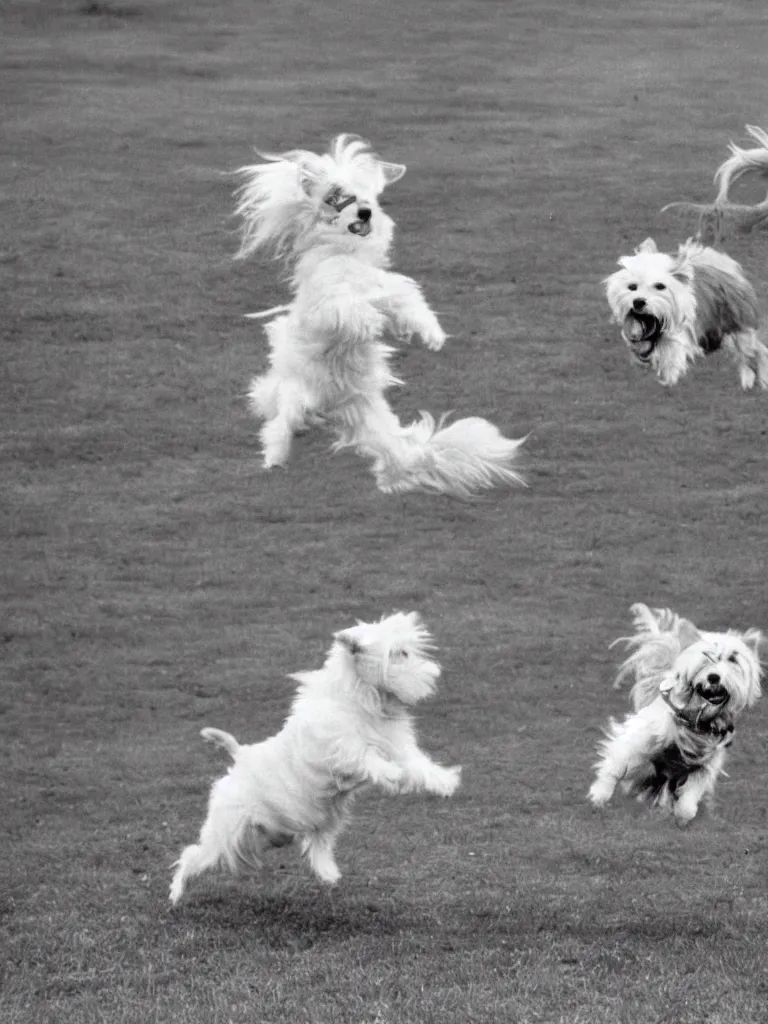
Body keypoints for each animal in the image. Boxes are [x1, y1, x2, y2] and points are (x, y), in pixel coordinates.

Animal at [169, 610, 462, 901]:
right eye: (400, 653)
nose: (434, 672)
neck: (363, 702)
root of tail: (240, 757)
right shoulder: (341, 747)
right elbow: (364, 755)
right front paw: (390, 773)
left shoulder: (398, 746)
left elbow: (419, 765)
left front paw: (445, 781)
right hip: (226, 831)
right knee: (191, 856)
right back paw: (175, 893)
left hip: (299, 823)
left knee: (316, 846)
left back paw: (329, 874)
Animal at [236, 133, 524, 499]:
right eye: (335, 199)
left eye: (366, 198)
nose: (365, 212)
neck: (347, 254)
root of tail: (330, 409)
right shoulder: (332, 302)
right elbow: (351, 310)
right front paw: (370, 322)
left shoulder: (385, 289)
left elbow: (407, 302)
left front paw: (431, 335)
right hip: (294, 396)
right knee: (279, 426)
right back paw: (276, 457)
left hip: (370, 422)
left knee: (390, 454)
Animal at [589, 602, 765, 827]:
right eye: (705, 657)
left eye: (733, 659)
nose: (714, 677)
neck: (697, 719)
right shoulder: (642, 739)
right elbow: (616, 764)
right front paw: (599, 794)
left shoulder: (703, 767)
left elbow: (689, 799)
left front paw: (683, 815)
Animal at [606, 237, 768, 389]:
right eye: (632, 287)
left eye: (659, 286)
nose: (638, 302)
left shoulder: (679, 337)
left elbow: (671, 360)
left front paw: (668, 381)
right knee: (745, 356)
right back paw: (747, 380)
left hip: (740, 327)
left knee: (755, 351)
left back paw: (760, 378)